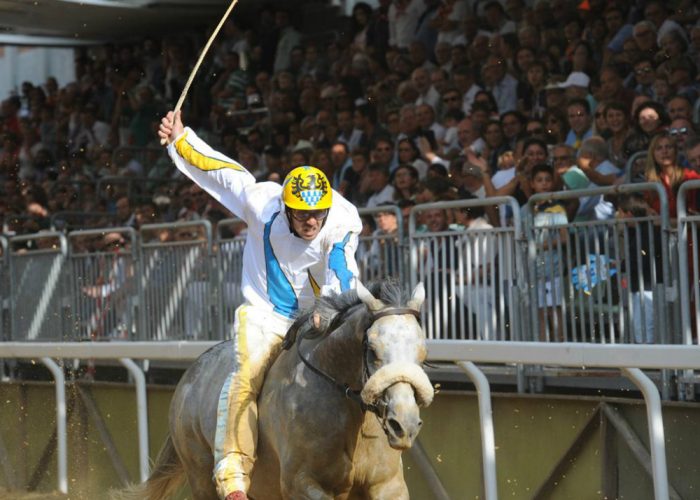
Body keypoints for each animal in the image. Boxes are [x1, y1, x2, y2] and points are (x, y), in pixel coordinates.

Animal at [119, 280, 432, 498]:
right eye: (373, 350)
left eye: (422, 352)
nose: (404, 424)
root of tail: (190, 375)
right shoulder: (300, 483)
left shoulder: (387, 485)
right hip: (199, 472)